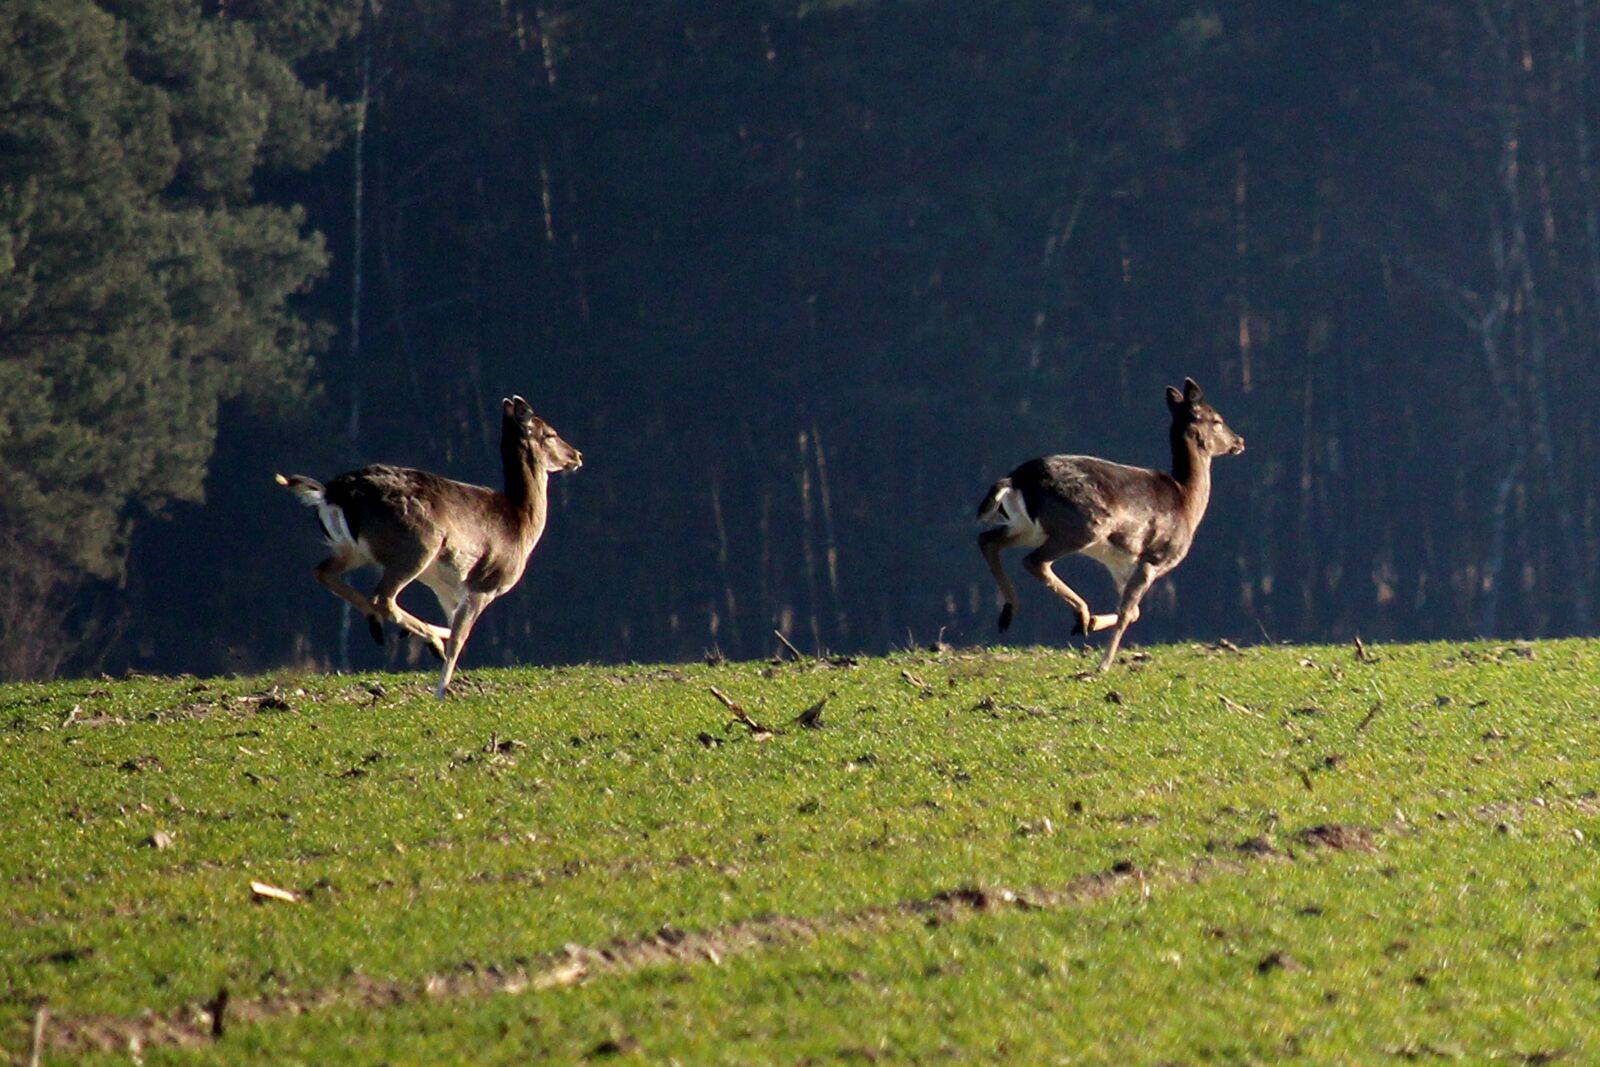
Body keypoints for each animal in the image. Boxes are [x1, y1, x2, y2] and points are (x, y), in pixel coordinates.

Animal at [276, 395, 582, 698]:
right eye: (551, 433)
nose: (577, 455)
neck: (521, 525)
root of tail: (332, 492)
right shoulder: (483, 584)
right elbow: (460, 637)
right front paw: (441, 690)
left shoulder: (448, 588)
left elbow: (456, 627)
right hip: (415, 548)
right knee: (383, 597)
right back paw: (426, 639)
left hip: (351, 550)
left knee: (323, 573)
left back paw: (385, 627)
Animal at [976, 377, 1244, 672]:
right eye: (1217, 420)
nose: (1239, 441)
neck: (1186, 502)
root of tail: (1015, 479)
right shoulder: (1153, 557)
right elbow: (1127, 611)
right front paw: (1103, 664)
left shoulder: (1119, 563)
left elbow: (1134, 611)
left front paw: (1095, 625)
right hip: (1081, 525)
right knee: (1033, 560)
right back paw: (1079, 614)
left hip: (1028, 528)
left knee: (988, 540)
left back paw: (1012, 613)